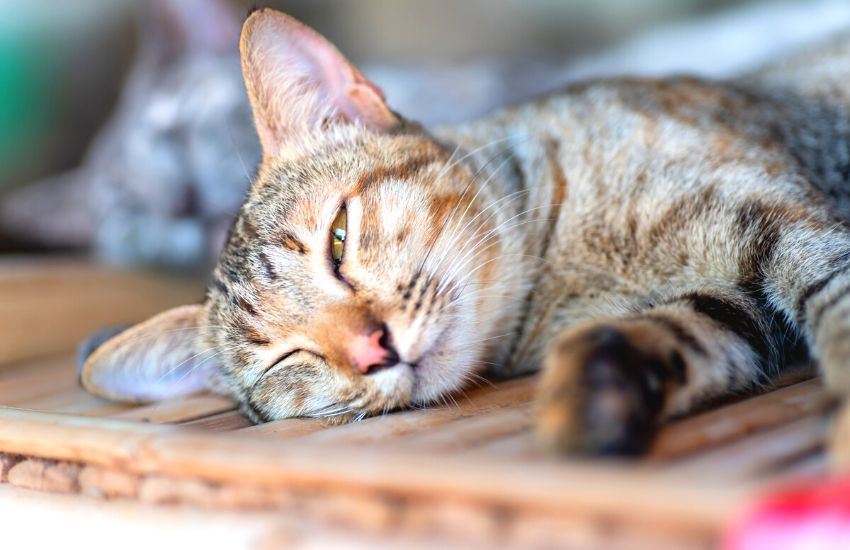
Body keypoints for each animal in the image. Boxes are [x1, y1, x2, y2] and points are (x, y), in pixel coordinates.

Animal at [76, 8, 848, 458]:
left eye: (338, 239)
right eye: (285, 359)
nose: (374, 349)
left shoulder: (787, 221)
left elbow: (834, 306)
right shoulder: (735, 306)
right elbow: (686, 332)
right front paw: (599, 389)